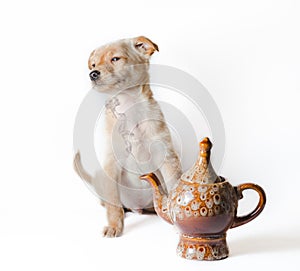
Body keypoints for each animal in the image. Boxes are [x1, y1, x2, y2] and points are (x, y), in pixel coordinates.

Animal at [74, 36, 183, 238]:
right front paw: (114, 226)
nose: (92, 74)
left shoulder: (167, 158)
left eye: (115, 59)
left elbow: (174, 187)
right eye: (93, 64)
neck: (130, 110)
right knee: (111, 202)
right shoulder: (111, 164)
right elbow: (113, 205)